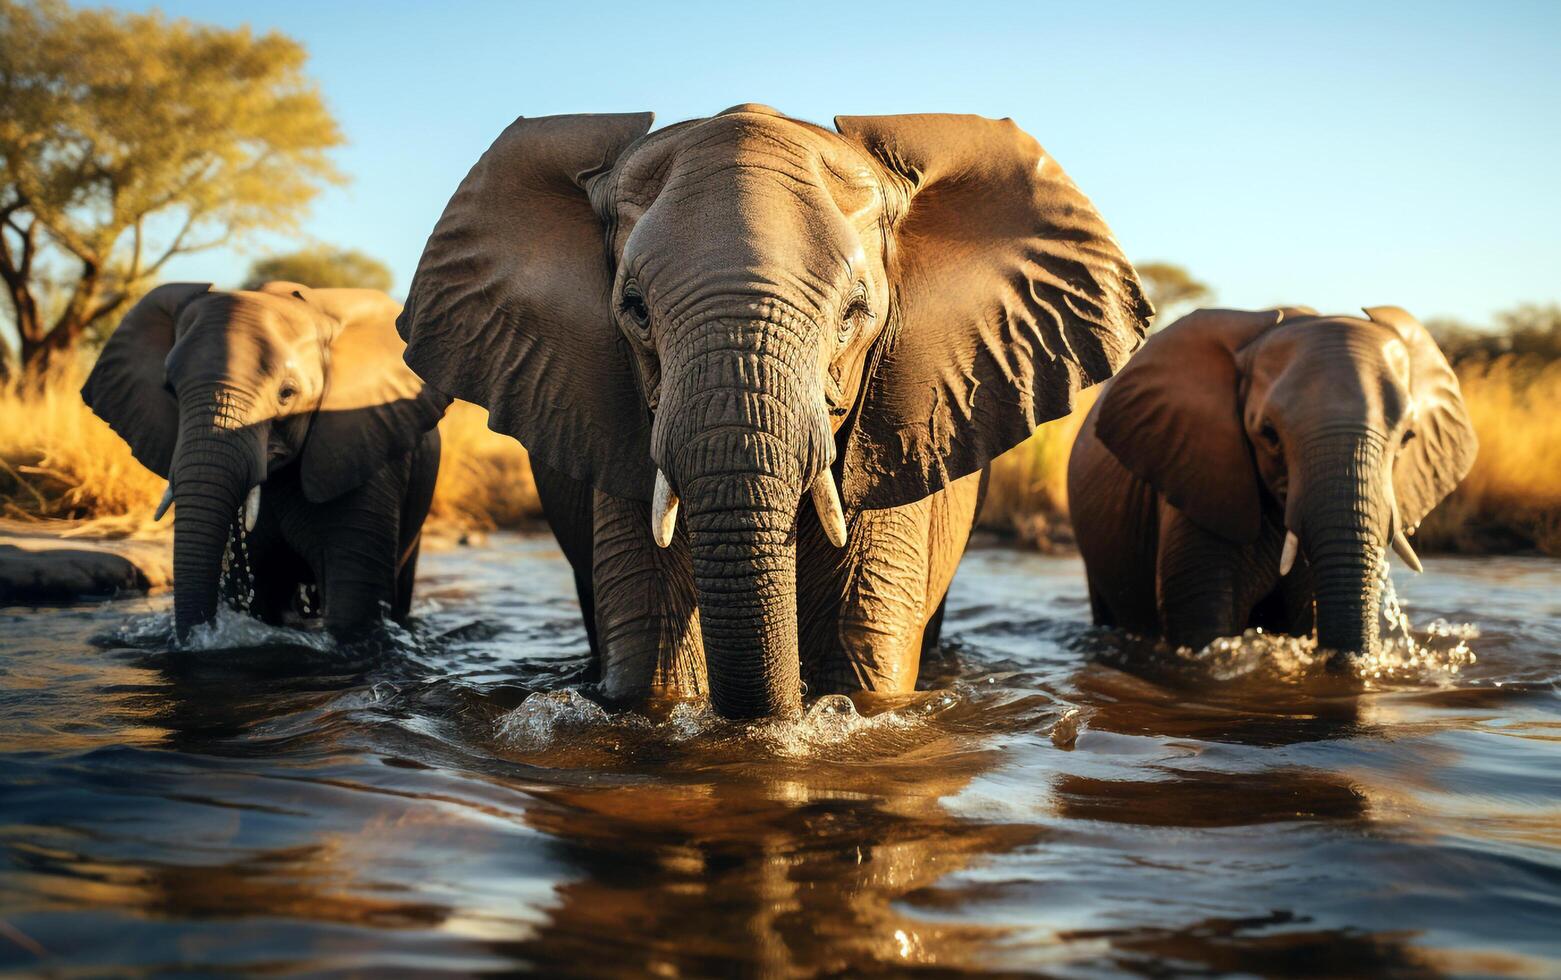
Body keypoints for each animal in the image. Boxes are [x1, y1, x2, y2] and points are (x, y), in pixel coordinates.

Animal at [83, 279, 452, 639]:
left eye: (287, 394)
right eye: (170, 390)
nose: (198, 635)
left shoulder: (364, 448)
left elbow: (353, 604)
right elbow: (256, 593)